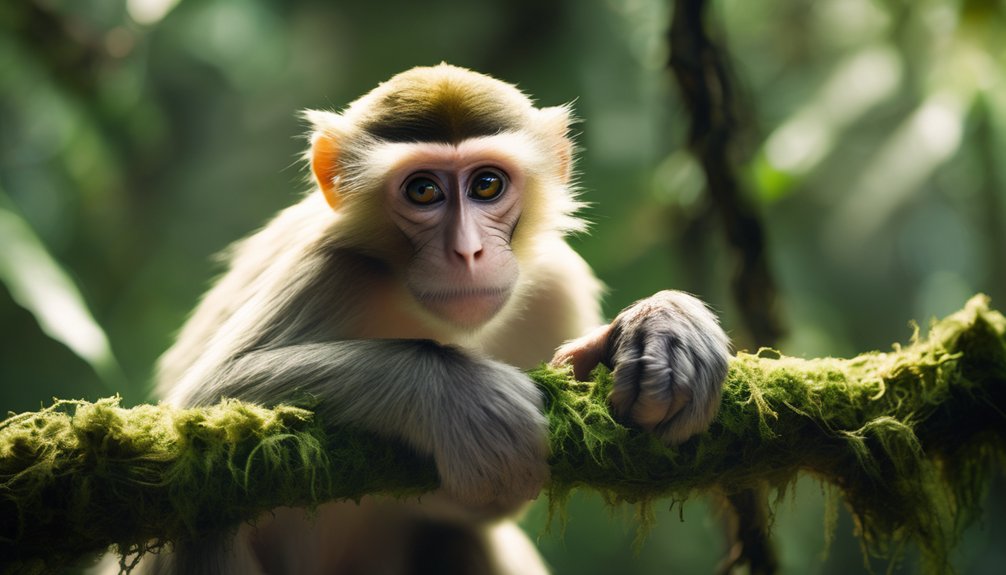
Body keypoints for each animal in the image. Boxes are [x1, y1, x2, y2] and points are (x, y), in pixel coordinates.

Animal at [105, 64, 730, 575]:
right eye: (424, 190)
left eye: (487, 184)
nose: (467, 251)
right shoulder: (330, 269)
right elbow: (205, 402)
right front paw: (463, 397)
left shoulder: (557, 284)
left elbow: (492, 507)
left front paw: (656, 331)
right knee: (201, 529)